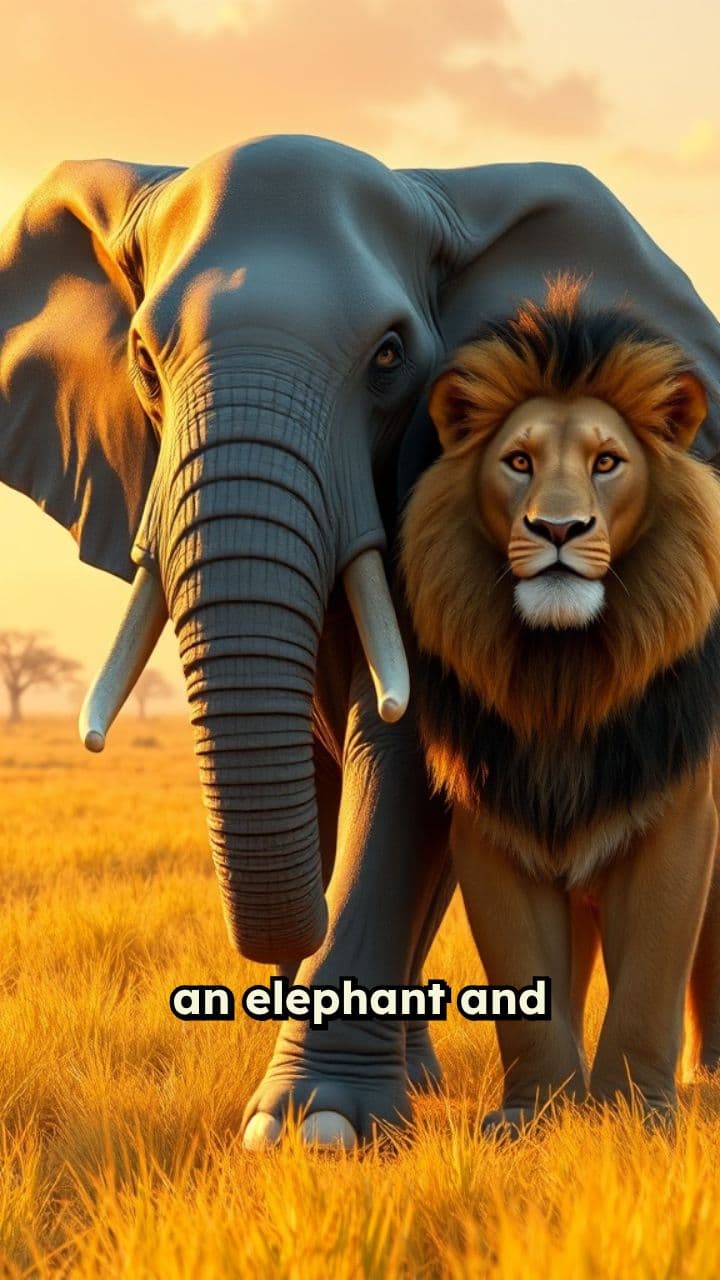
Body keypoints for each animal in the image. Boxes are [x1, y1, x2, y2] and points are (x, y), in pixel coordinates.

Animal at [400, 275, 720, 1133]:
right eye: (518, 461)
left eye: (608, 462)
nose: (557, 527)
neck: (563, 677)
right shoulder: (491, 824)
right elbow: (524, 978)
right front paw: (535, 1114)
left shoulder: (680, 819)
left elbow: (650, 975)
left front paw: (637, 1115)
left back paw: (708, 1076)